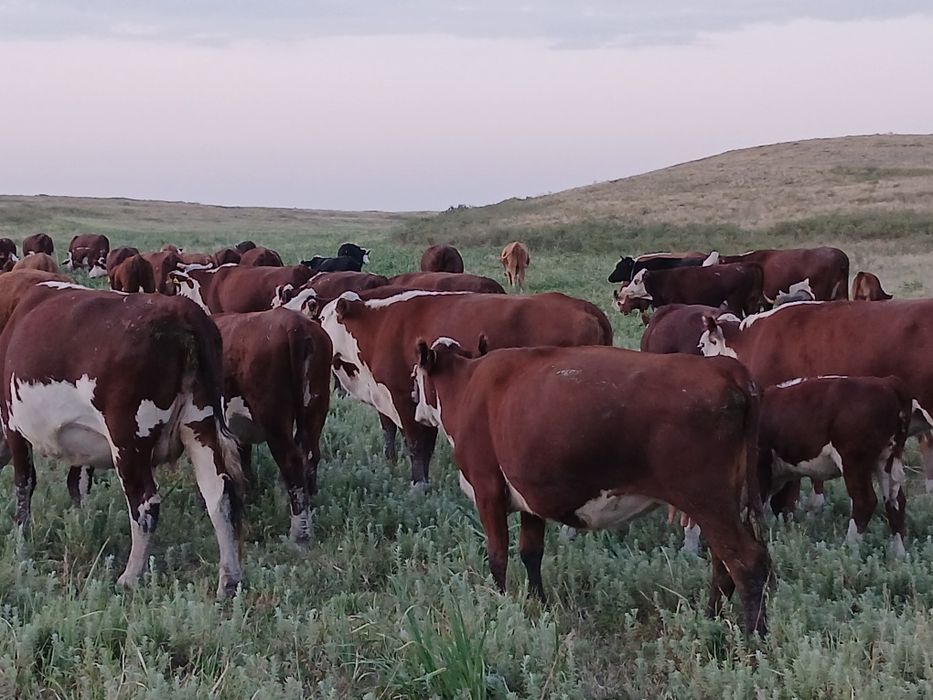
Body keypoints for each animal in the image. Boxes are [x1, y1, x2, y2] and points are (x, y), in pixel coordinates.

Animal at [0, 281, 246, 597]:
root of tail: (180, 309)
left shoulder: (13, 424)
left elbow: (24, 484)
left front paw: (21, 537)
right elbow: (77, 485)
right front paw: (81, 524)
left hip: (129, 436)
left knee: (145, 504)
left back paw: (130, 576)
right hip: (200, 426)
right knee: (220, 494)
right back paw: (230, 579)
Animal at [212, 309, 332, 543]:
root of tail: (294, 323)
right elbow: (243, 463)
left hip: (273, 417)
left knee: (291, 460)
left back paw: (299, 535)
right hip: (317, 406)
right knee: (310, 454)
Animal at [320, 289, 613, 485]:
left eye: (322, 318)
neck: (379, 325)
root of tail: (587, 309)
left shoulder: (404, 396)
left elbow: (416, 445)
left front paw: (418, 486)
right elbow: (394, 433)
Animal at [412, 340, 769, 636]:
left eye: (415, 377)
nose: (415, 409)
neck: (467, 387)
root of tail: (723, 367)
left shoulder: (487, 490)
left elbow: (498, 556)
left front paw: (501, 606)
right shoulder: (531, 498)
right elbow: (531, 552)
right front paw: (538, 603)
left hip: (708, 502)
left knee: (746, 562)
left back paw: (752, 639)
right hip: (725, 503)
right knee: (724, 564)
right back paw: (712, 621)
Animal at [613, 263, 764, 317]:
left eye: (636, 281)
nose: (624, 291)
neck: (663, 280)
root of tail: (748, 266)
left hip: (735, 302)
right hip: (751, 302)